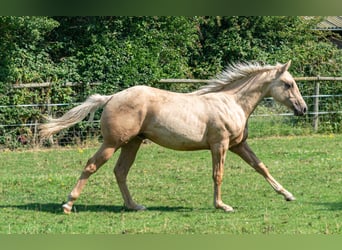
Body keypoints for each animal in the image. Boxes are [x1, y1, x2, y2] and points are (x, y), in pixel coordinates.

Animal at [39, 60, 308, 213]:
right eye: (288, 84)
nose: (303, 109)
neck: (232, 103)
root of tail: (111, 97)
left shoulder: (238, 145)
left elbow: (261, 167)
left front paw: (288, 194)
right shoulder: (219, 145)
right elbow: (218, 175)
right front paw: (222, 206)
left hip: (132, 143)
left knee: (120, 171)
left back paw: (134, 206)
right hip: (112, 143)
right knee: (92, 165)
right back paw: (68, 204)